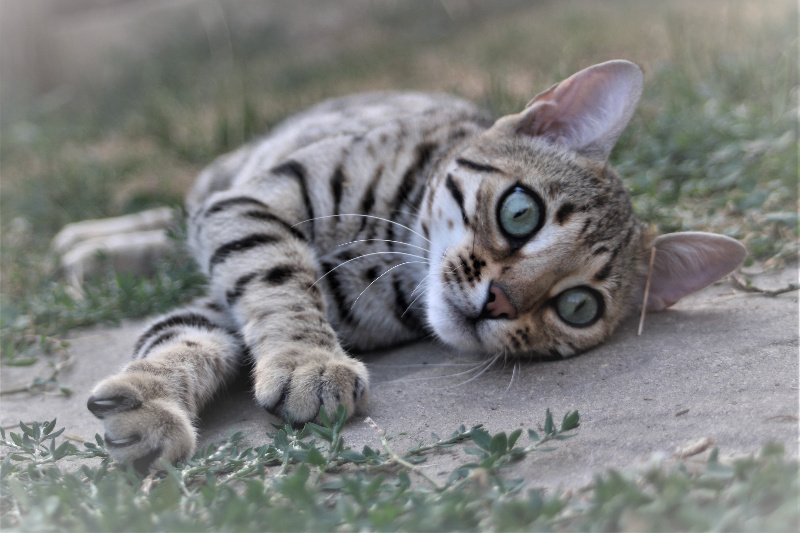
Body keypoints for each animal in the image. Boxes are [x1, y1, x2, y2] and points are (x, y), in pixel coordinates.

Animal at [84, 59, 748, 470]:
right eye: (521, 212)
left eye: (578, 306)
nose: (498, 301)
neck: (394, 254)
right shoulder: (251, 203)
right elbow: (268, 280)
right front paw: (307, 362)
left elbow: (187, 335)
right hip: (227, 173)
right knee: (176, 215)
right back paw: (90, 248)